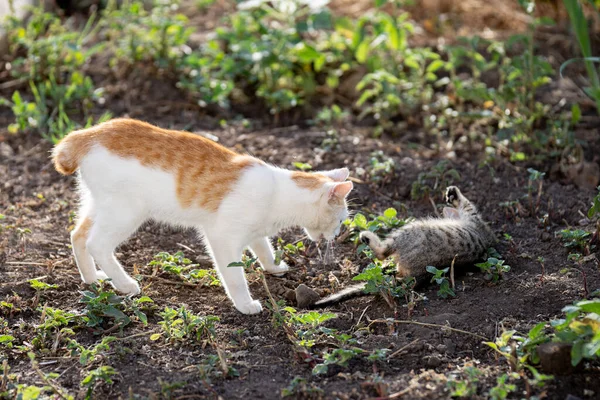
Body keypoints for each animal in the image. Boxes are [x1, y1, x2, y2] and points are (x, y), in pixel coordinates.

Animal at [52, 117, 352, 314]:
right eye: (340, 220)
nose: (337, 235)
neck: (280, 192)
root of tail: (88, 134)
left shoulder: (254, 232)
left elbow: (264, 249)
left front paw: (274, 267)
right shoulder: (221, 237)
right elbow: (234, 277)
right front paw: (245, 304)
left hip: (99, 205)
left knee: (78, 235)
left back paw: (92, 278)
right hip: (126, 212)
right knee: (97, 244)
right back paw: (125, 284)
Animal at [316, 187, 494, 306]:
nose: (446, 203)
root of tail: (419, 275)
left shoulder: (472, 215)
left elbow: (466, 203)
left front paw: (453, 193)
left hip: (407, 231)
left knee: (382, 253)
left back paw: (367, 237)